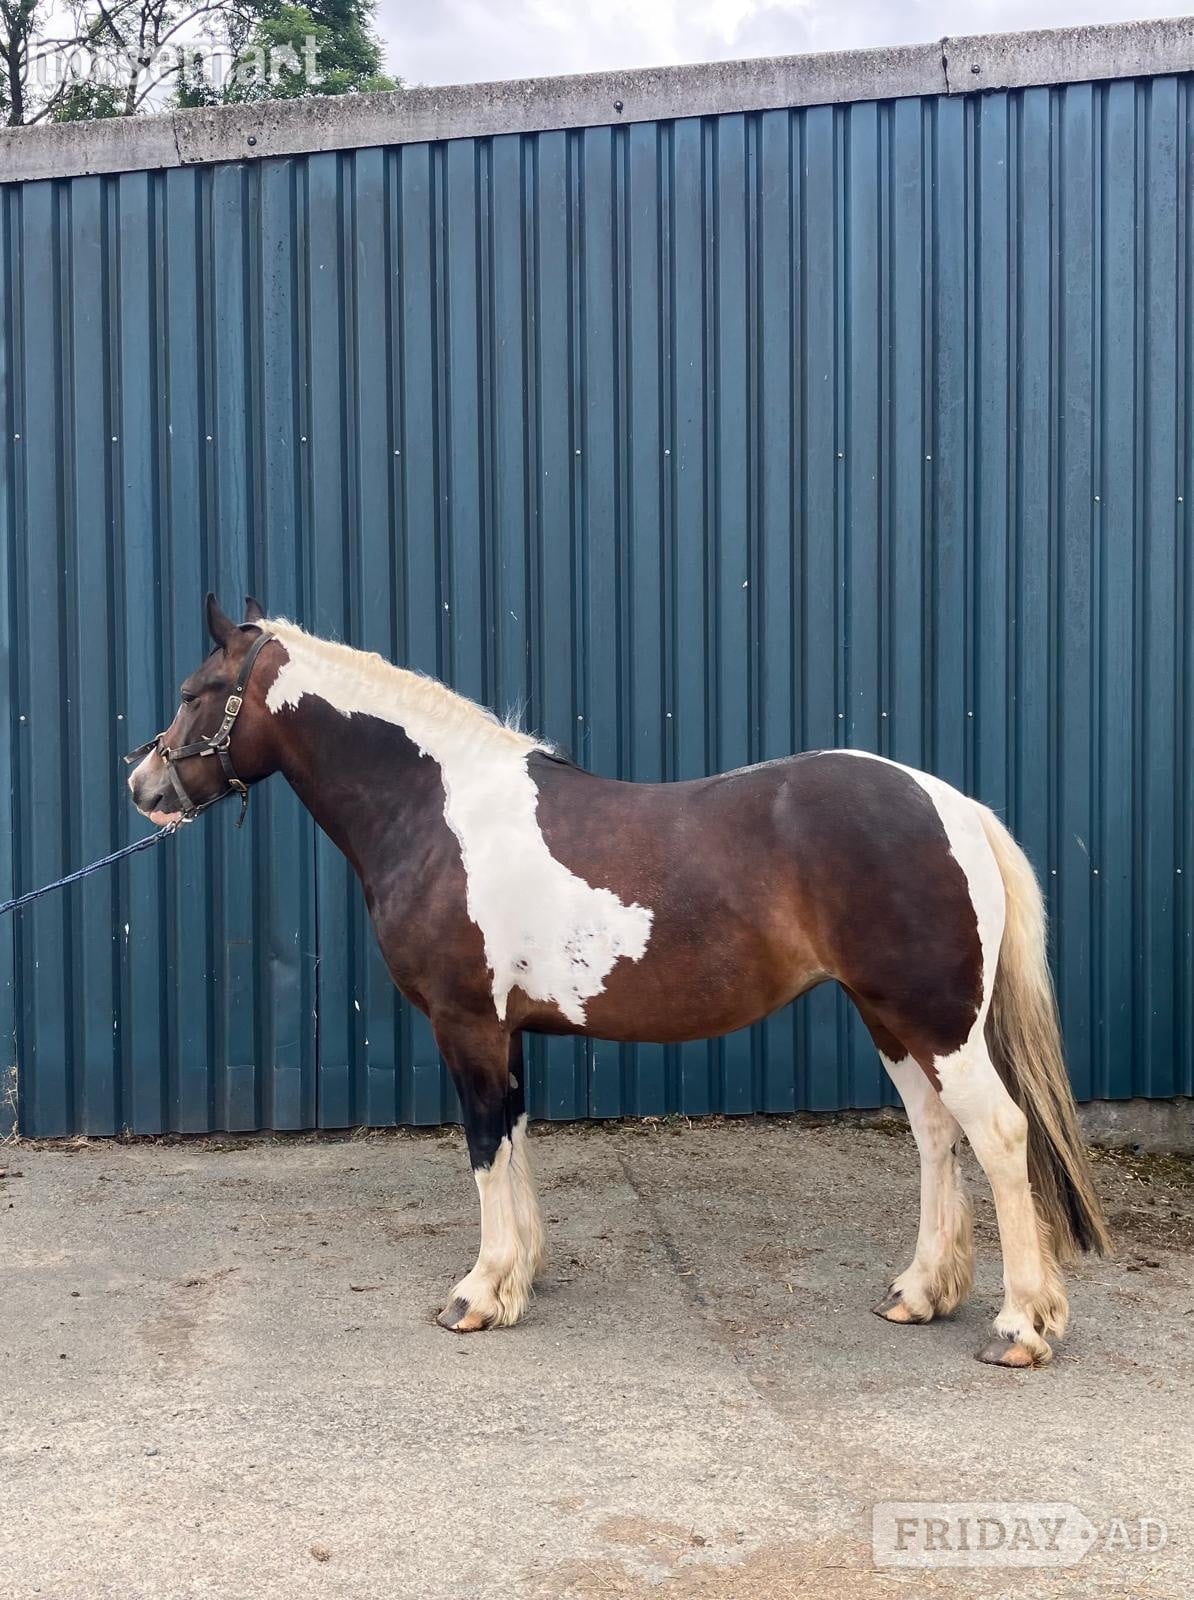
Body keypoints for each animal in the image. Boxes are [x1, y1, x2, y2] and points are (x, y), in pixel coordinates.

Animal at [126, 594, 1111, 1368]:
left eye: (194, 693)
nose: (143, 786)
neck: (438, 811)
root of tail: (952, 804)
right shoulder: (507, 1030)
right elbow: (515, 1139)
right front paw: (520, 1274)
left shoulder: (466, 1024)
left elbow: (484, 1147)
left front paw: (478, 1294)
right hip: (892, 1019)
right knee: (937, 1135)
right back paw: (920, 1292)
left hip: (936, 1022)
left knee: (999, 1134)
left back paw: (1021, 1326)